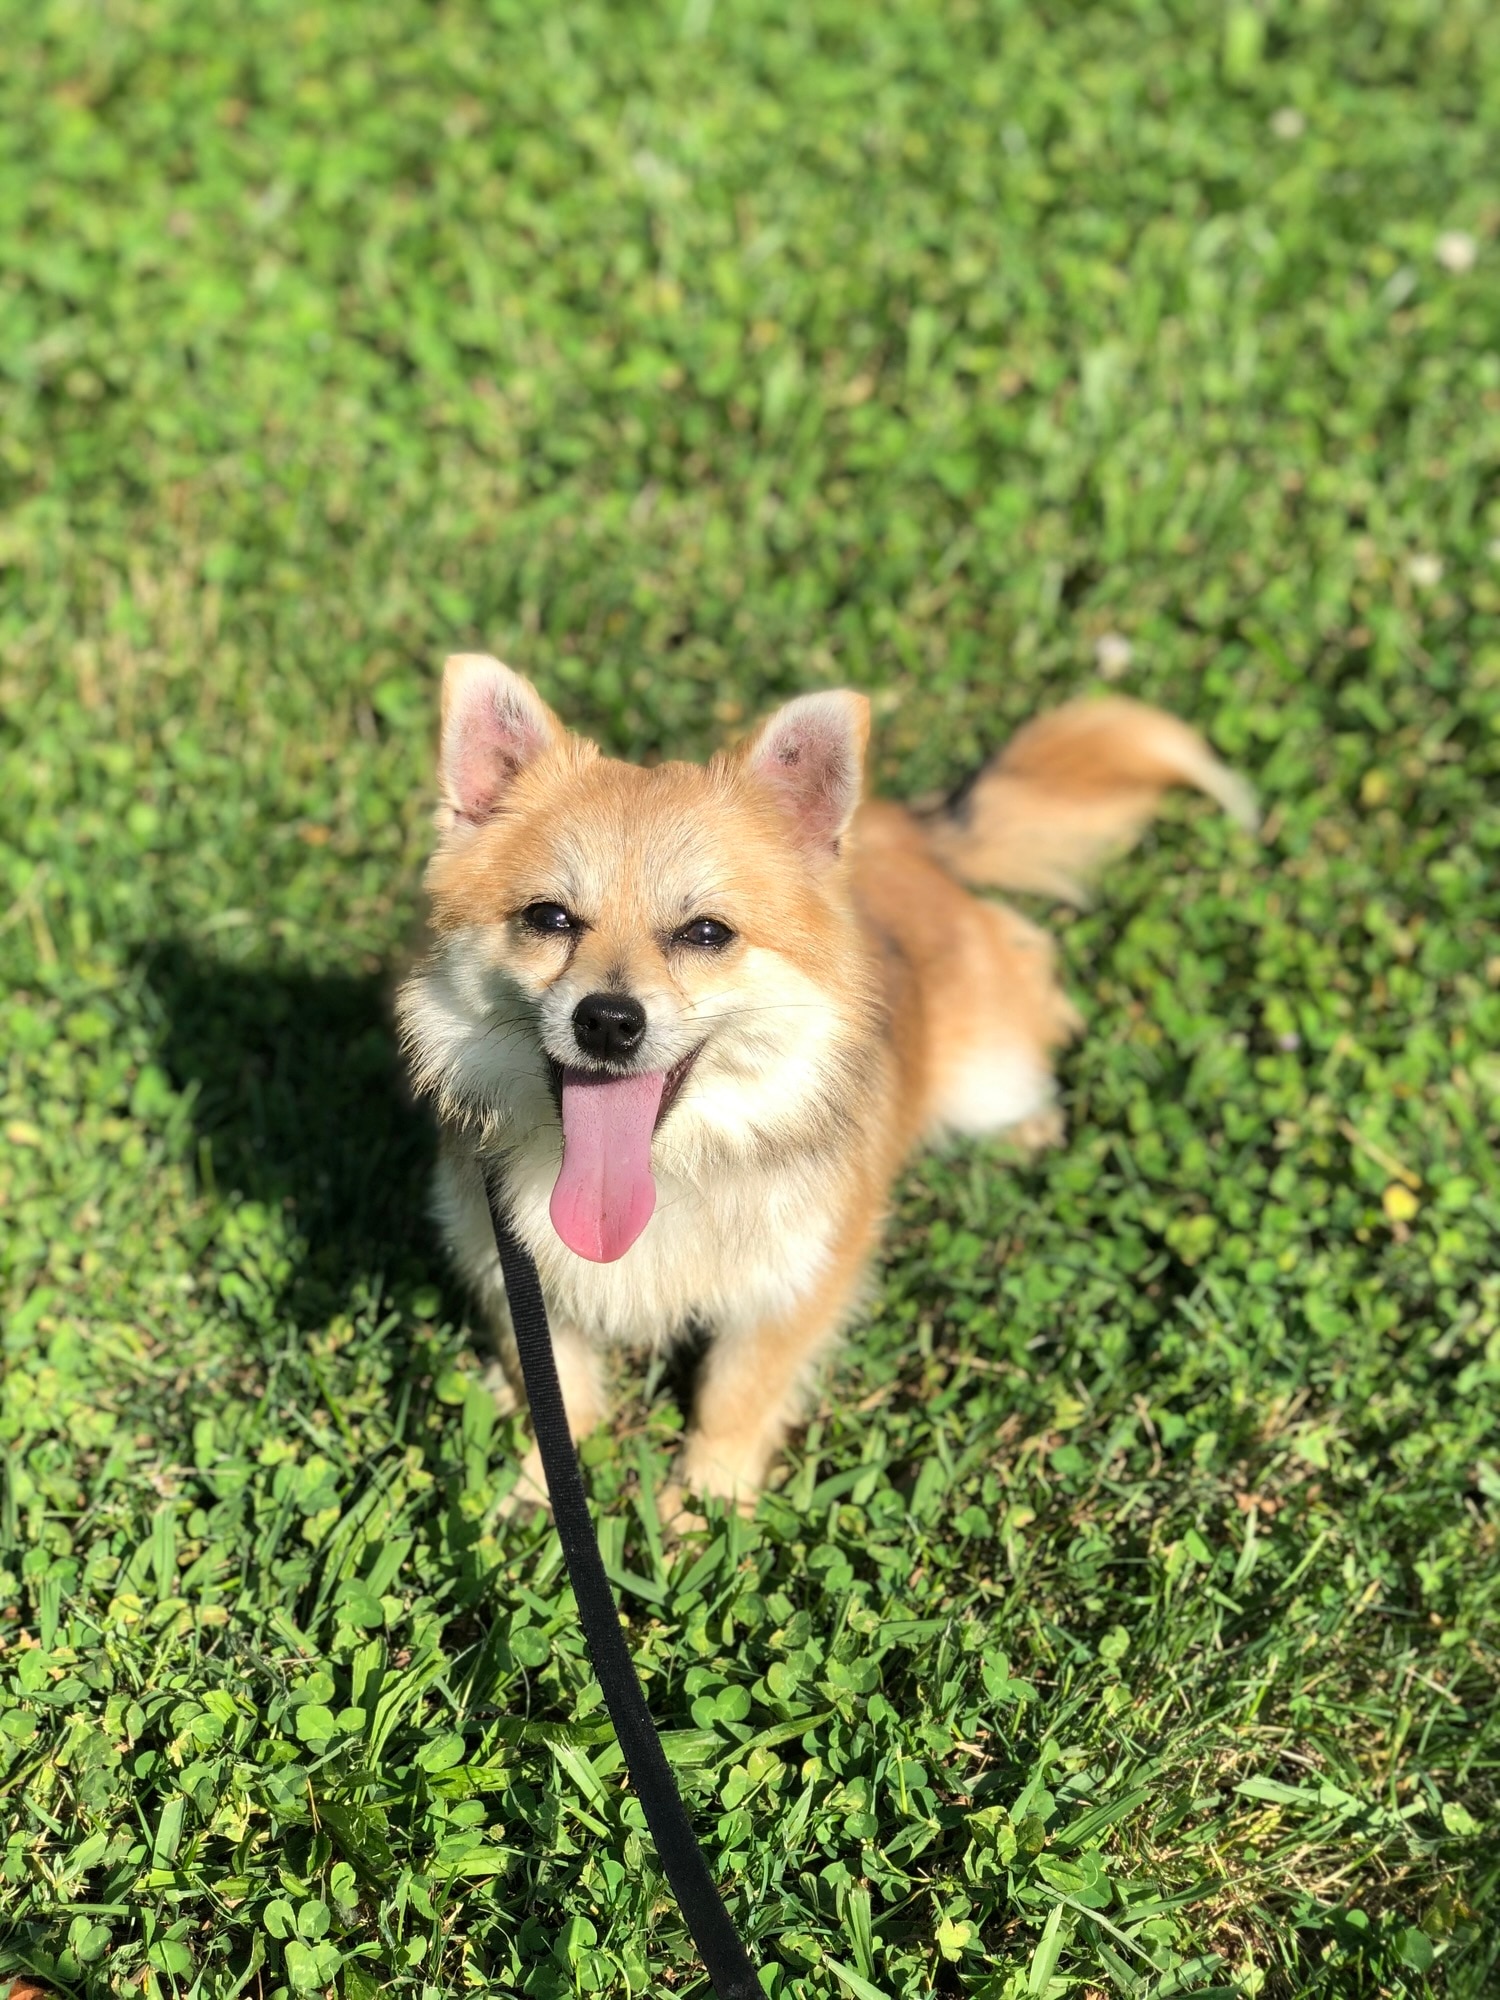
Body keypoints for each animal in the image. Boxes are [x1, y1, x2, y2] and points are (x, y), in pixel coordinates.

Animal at [396, 656, 1256, 1512]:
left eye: (706, 932)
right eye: (549, 918)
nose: (608, 1021)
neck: (668, 1174)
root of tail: (896, 832)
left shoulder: (795, 1285)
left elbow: (735, 1400)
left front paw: (706, 1510)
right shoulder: (518, 1277)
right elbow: (559, 1394)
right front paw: (535, 1495)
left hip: (988, 1075)